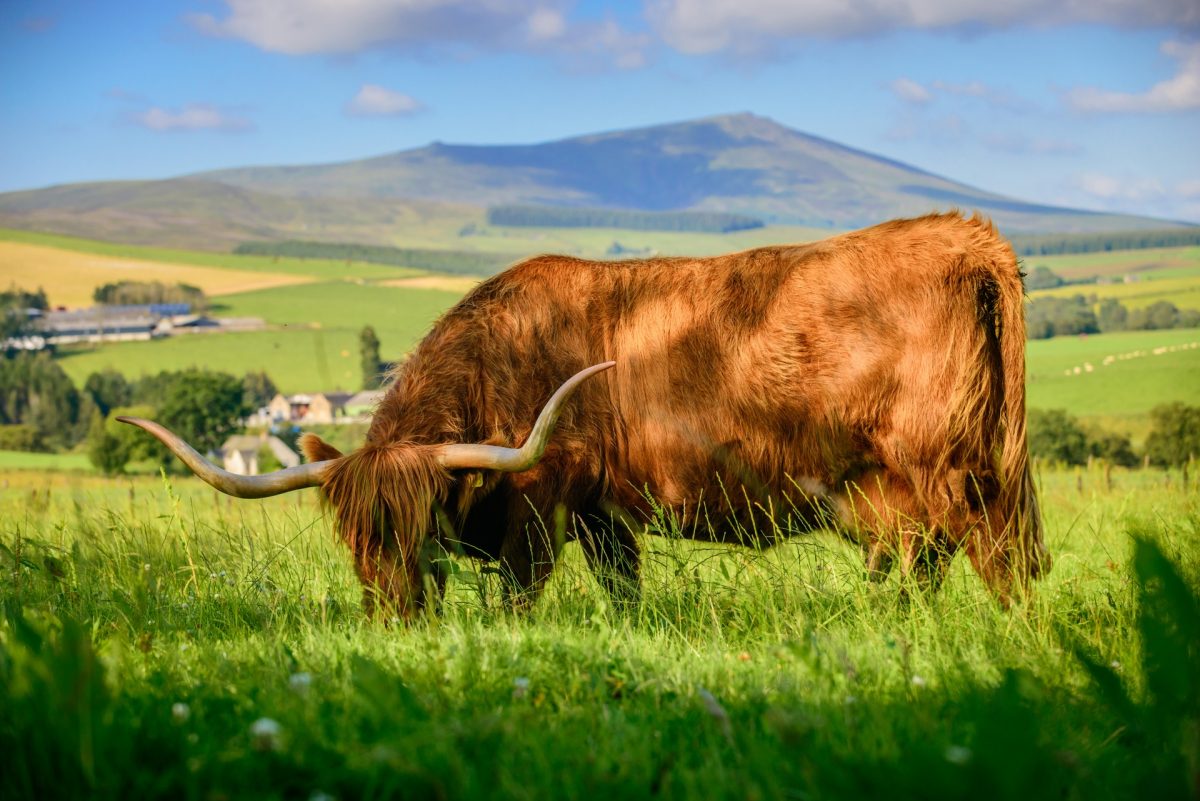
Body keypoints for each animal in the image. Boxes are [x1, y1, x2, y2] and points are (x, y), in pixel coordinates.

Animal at [117, 211, 1046, 613]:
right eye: (351, 532)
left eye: (418, 525)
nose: (395, 614)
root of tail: (964, 231)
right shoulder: (605, 513)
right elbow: (623, 588)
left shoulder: (541, 507)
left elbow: (520, 595)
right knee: (925, 564)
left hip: (951, 471)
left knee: (993, 560)